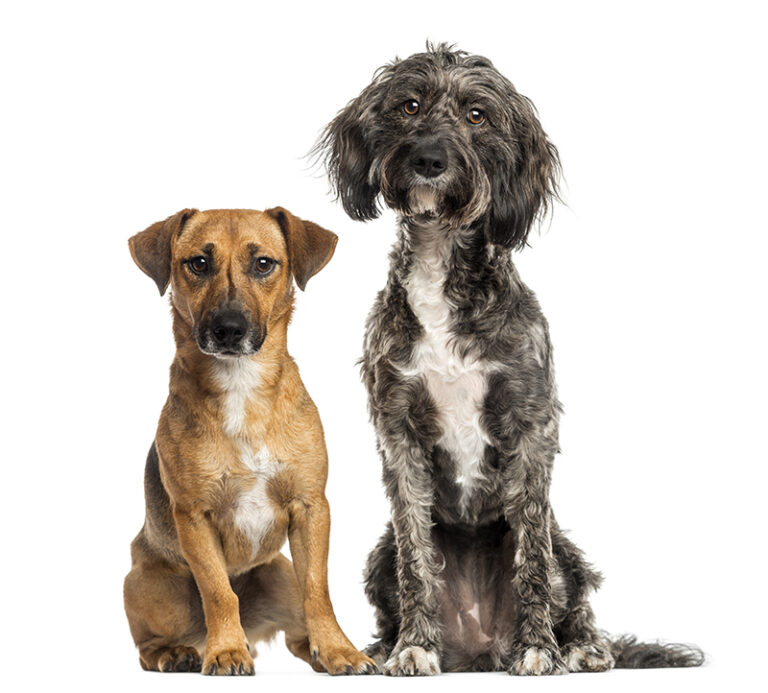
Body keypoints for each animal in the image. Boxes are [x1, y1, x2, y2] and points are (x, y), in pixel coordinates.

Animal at [123, 207, 378, 676]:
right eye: (198, 263)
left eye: (263, 264)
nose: (229, 329)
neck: (241, 386)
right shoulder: (194, 516)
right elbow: (219, 592)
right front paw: (226, 651)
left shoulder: (311, 508)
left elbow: (319, 590)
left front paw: (339, 650)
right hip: (156, 587)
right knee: (149, 645)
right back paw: (181, 653)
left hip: (280, 575)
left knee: (298, 631)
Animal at [316, 43, 704, 676]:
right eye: (409, 105)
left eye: (477, 115)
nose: (428, 159)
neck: (442, 265)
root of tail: (478, 647)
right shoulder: (397, 432)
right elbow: (416, 559)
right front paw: (414, 646)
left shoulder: (530, 426)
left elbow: (531, 559)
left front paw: (538, 648)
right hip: (377, 555)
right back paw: (385, 647)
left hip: (567, 549)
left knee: (574, 594)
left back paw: (581, 648)